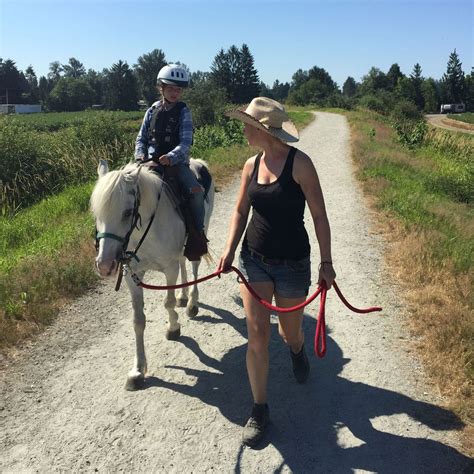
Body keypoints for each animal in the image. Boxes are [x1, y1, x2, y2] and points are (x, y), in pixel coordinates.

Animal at [90, 161, 215, 390]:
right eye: (97, 214)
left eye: (127, 212)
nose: (104, 265)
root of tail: (199, 163)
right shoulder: (132, 275)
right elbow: (138, 320)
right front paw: (138, 371)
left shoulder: (169, 268)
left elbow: (168, 302)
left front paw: (173, 328)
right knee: (183, 262)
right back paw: (184, 297)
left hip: (201, 232)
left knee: (193, 265)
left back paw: (191, 303)